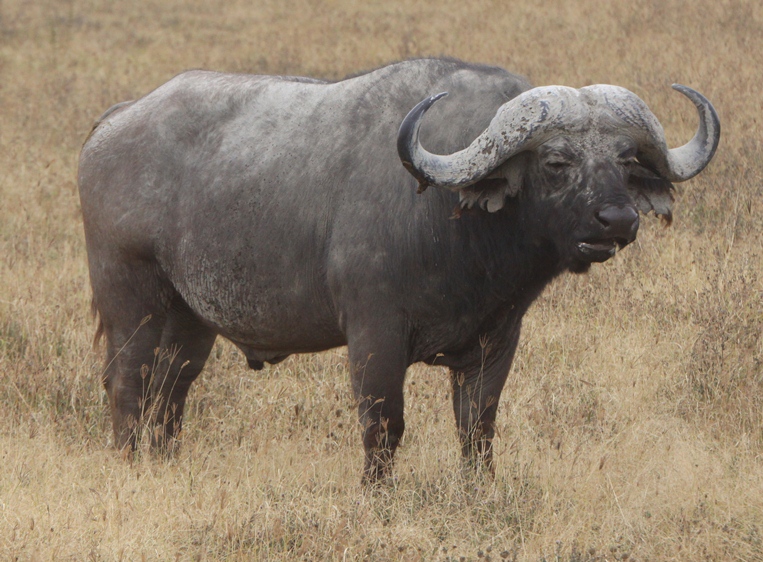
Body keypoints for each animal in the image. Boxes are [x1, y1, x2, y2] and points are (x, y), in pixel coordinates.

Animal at [78, 58, 719, 482]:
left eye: (625, 159)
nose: (618, 220)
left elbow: (478, 428)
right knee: (127, 381)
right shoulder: (374, 336)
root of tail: (115, 122)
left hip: (191, 319)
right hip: (130, 297)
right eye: (557, 161)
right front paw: (376, 498)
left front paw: (480, 495)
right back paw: (128, 465)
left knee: (171, 389)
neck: (452, 223)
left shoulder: (496, 341)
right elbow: (384, 426)